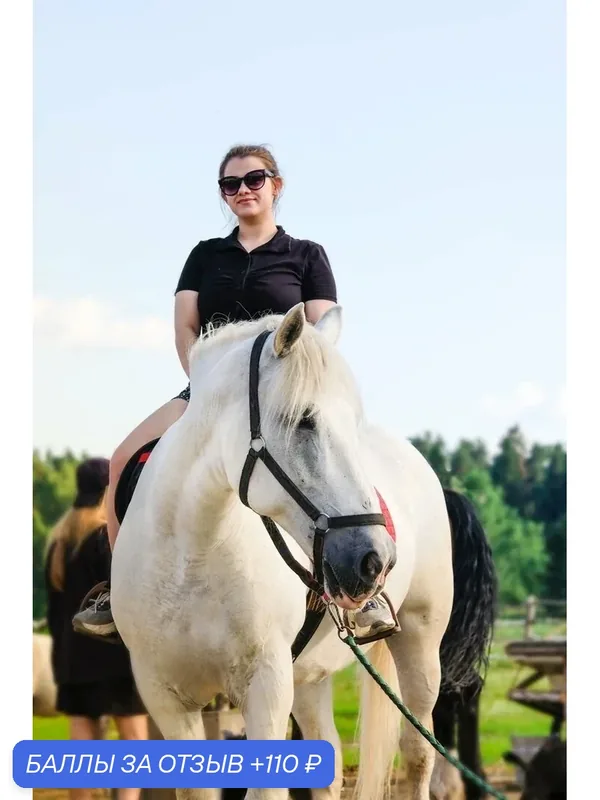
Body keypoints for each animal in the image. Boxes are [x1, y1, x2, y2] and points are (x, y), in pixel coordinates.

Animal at [110, 303, 496, 800]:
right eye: (304, 421)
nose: (375, 560)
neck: (190, 558)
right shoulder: (166, 697)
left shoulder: (266, 688)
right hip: (309, 677)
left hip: (421, 643)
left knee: (418, 754)